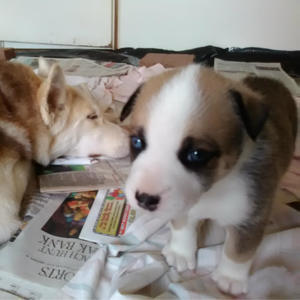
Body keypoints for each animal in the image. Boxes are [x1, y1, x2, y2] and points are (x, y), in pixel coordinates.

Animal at [120, 63, 298, 296]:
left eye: (196, 154)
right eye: (137, 142)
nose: (145, 199)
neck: (214, 188)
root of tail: (271, 80)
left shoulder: (250, 217)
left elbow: (238, 251)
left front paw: (230, 278)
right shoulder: (183, 205)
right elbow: (182, 226)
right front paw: (180, 251)